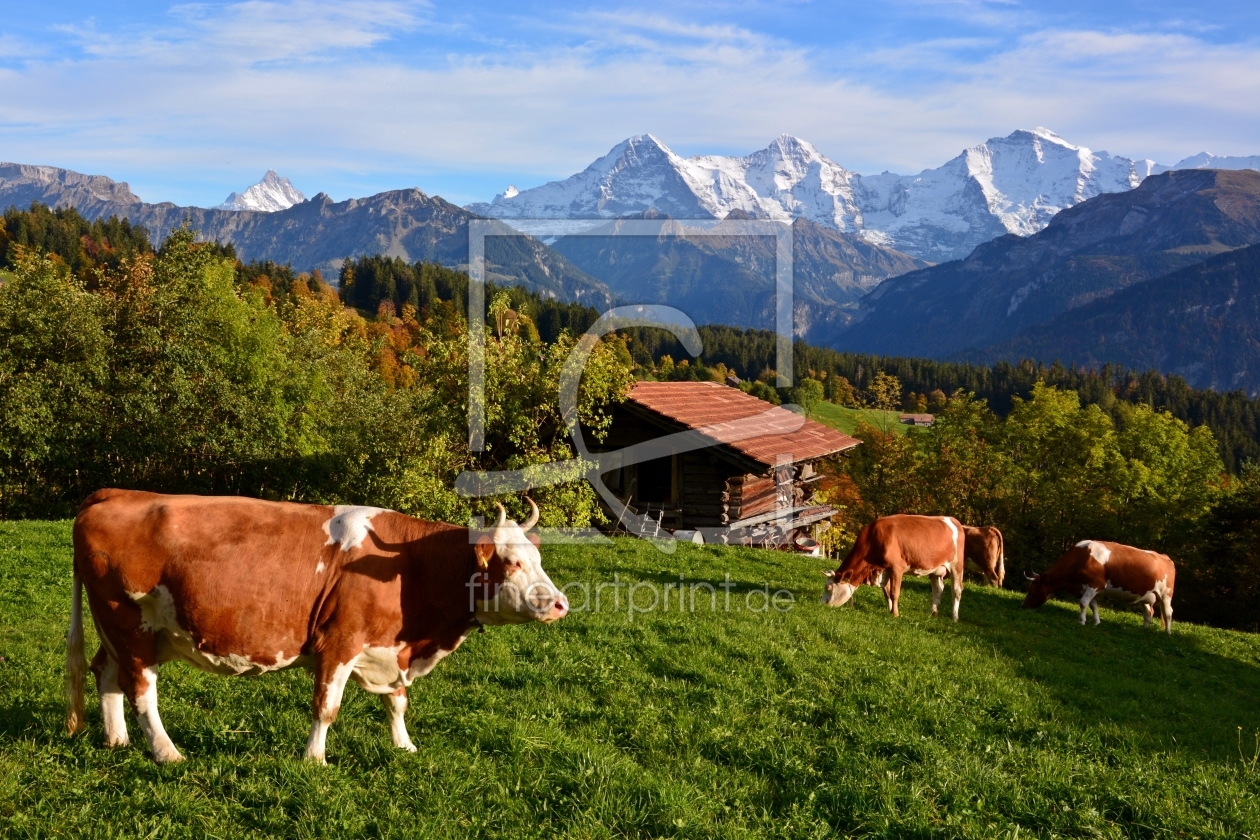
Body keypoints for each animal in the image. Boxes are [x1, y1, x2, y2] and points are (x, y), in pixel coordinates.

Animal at [63, 488, 567, 765]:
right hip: (129, 624)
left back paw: (117, 740)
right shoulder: (339, 641)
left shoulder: (389, 649)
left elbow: (397, 703)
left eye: (539, 558)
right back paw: (165, 751)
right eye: (511, 561)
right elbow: (327, 708)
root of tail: (115, 493)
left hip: (122, 629)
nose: (561, 604)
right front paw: (314, 758)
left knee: (107, 674)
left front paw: (404, 747)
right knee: (141, 690)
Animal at [816, 516, 962, 622]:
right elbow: (887, 593)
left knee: (956, 591)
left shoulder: (897, 568)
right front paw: (890, 610)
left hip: (956, 566)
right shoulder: (884, 570)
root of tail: (953, 520)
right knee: (938, 590)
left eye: (828, 588)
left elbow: (894, 592)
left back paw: (954, 617)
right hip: (936, 570)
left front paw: (895, 614)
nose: (821, 604)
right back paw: (933, 613)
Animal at [1023, 541, 1169, 634]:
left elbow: (1083, 603)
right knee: (1148, 612)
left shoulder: (1095, 584)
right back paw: (1144, 629)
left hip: (1166, 594)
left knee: (1168, 613)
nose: (1023, 605)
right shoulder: (1087, 587)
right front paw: (1096, 622)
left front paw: (1081, 621)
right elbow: (1093, 605)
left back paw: (1168, 633)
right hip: (1146, 596)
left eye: (1032, 591)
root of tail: (1164, 556)